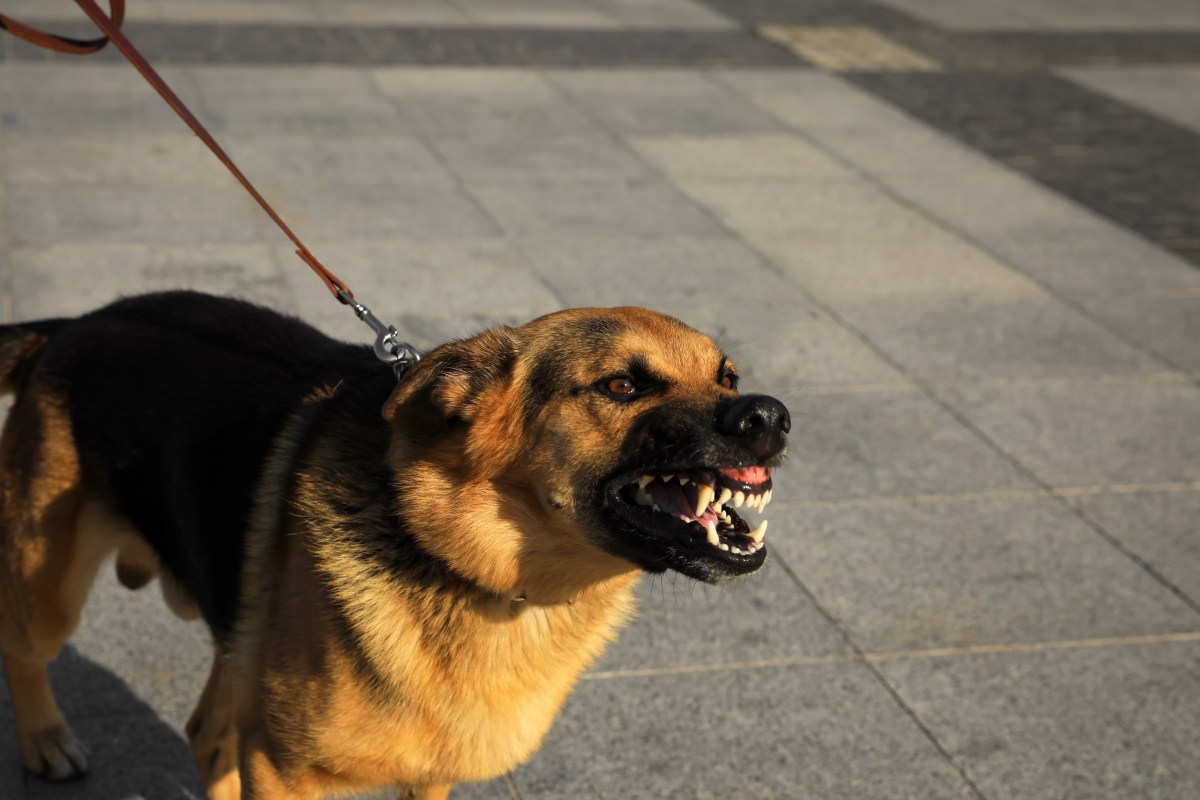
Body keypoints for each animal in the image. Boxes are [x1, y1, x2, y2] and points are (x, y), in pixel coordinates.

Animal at [0, 292, 787, 800]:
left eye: (728, 378)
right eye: (622, 385)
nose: (770, 417)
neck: (479, 576)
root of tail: (78, 323)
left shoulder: (428, 777)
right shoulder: (283, 773)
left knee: (205, 733)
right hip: (48, 586)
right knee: (25, 651)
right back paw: (43, 741)